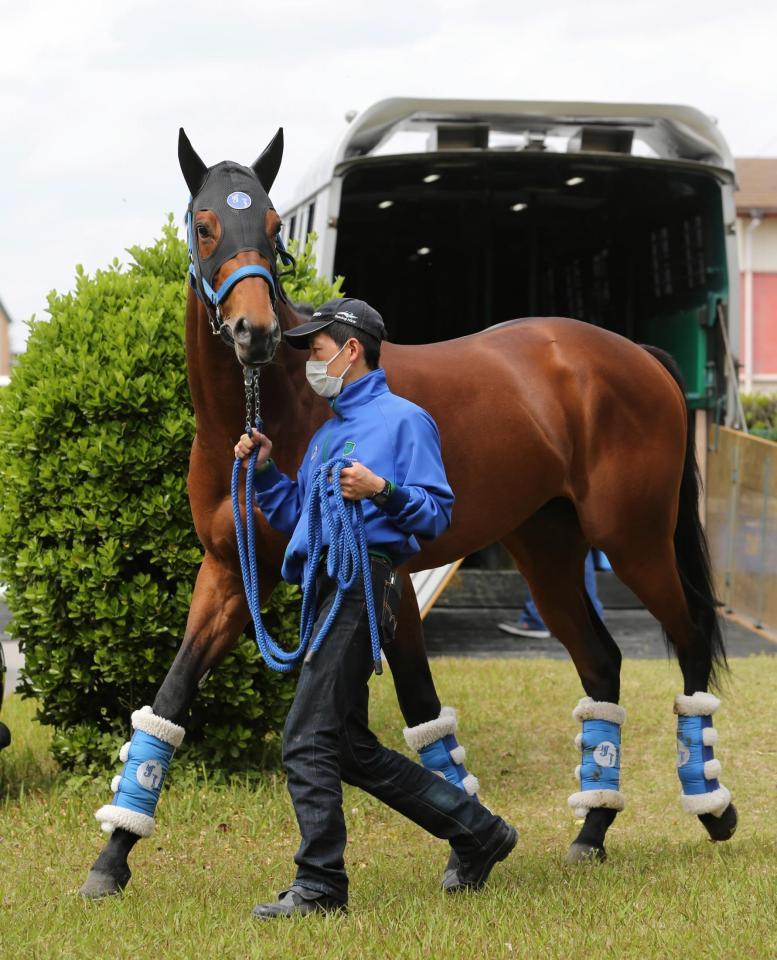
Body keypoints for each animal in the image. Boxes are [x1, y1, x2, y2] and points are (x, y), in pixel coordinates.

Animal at [79, 129, 736, 899]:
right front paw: (112, 856)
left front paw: (469, 839)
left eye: (274, 229)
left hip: (632, 539)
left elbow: (419, 709)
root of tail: (635, 353)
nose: (254, 331)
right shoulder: (230, 574)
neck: (284, 404)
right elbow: (173, 697)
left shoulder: (381, 579)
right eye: (206, 225)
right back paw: (592, 829)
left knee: (689, 637)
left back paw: (710, 803)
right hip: (545, 549)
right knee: (602, 664)